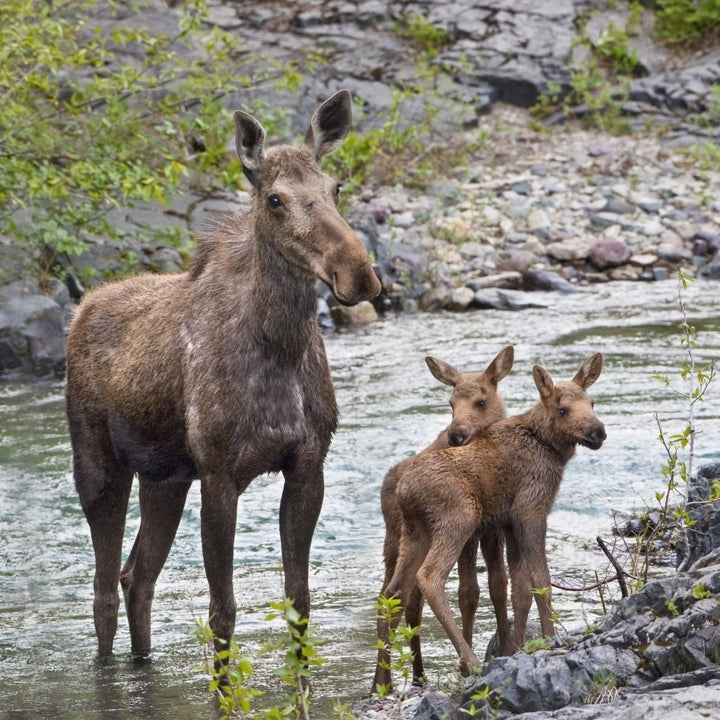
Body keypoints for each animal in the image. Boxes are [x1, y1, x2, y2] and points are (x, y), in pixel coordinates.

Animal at [66, 90, 382, 660]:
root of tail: (81, 308)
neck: (280, 351)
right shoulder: (219, 474)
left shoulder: (308, 465)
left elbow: (299, 602)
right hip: (98, 465)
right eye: (275, 199)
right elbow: (223, 612)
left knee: (136, 577)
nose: (359, 272)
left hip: (164, 476)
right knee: (103, 588)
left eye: (336, 187)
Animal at [374, 354, 604, 692]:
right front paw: (549, 638)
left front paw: (518, 647)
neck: (550, 449)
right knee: (428, 578)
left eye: (592, 402)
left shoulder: (508, 524)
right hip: (459, 519)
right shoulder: (531, 511)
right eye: (563, 409)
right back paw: (469, 661)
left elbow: (519, 589)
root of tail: (404, 490)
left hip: (415, 533)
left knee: (393, 593)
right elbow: (542, 581)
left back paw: (386, 682)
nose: (598, 432)